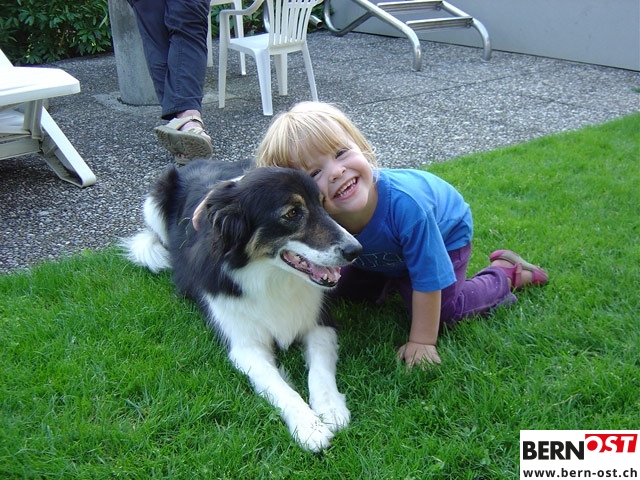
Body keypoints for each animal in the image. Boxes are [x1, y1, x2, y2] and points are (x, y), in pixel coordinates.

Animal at [123, 159, 362, 451]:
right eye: (293, 213)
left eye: (322, 203)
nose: (355, 250)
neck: (272, 278)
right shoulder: (244, 346)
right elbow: (277, 385)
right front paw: (309, 426)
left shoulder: (319, 324)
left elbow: (320, 371)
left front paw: (331, 408)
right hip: (154, 201)